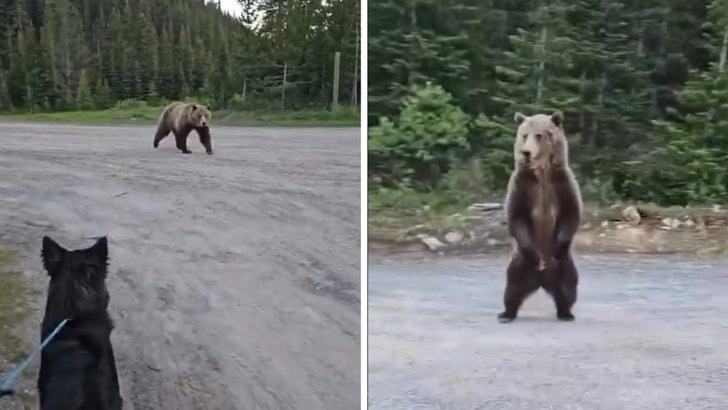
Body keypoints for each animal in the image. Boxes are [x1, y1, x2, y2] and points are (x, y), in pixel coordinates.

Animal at [497, 110, 583, 323]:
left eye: (539, 135)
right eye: (524, 135)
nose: (526, 152)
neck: (542, 174)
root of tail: (542, 279)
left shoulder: (562, 184)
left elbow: (570, 213)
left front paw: (559, 248)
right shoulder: (522, 185)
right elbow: (516, 216)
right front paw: (536, 258)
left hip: (564, 266)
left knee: (568, 286)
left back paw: (566, 312)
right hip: (519, 262)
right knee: (512, 287)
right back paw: (507, 313)